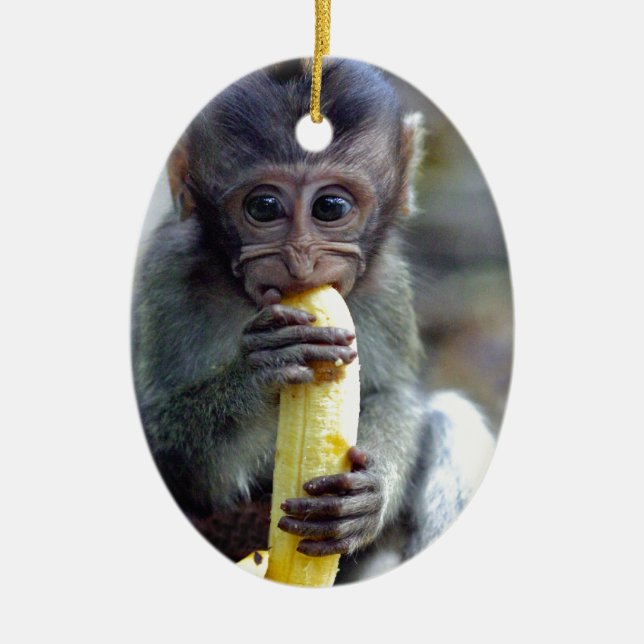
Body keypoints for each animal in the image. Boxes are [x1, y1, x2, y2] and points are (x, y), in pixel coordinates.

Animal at [132, 59, 496, 583]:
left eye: (331, 207)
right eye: (263, 206)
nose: (300, 262)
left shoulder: (387, 284)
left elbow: (393, 396)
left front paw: (370, 491)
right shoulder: (166, 275)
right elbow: (167, 446)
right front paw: (262, 369)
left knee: (453, 417)